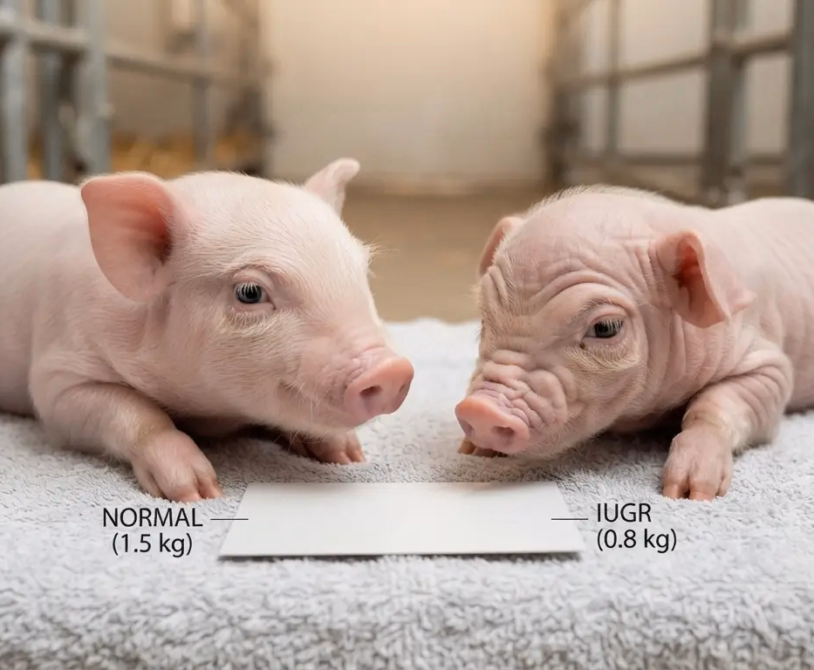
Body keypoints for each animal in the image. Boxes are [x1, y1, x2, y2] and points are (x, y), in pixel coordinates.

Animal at [0, 159, 414, 502]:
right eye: (250, 292)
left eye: (362, 273)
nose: (392, 369)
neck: (209, 412)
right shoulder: (59, 375)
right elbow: (136, 412)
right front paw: (199, 492)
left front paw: (350, 455)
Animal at [454, 184, 814, 500]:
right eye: (484, 319)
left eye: (605, 328)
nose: (480, 409)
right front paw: (471, 450)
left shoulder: (765, 361)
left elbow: (718, 402)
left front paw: (688, 493)